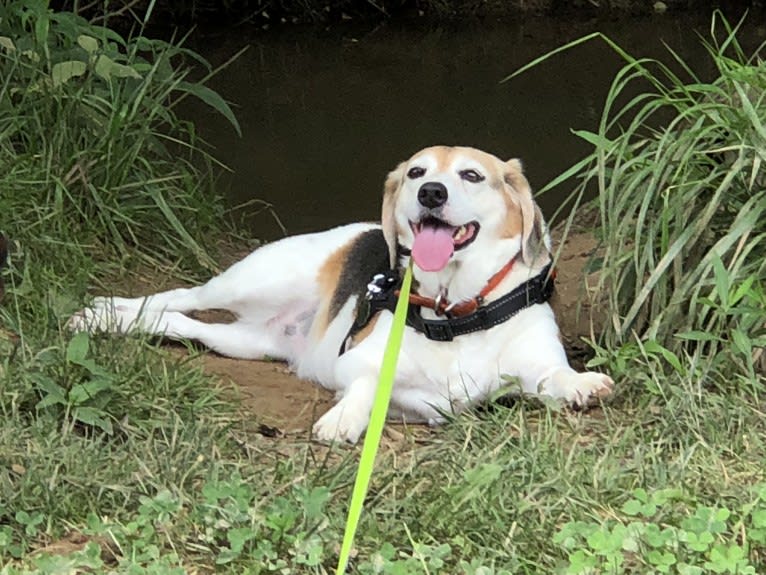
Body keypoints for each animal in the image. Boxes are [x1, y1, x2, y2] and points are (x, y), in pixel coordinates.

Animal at [69, 146, 616, 444]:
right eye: (417, 173)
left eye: (472, 175)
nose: (431, 192)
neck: (455, 309)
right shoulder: (358, 362)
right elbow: (369, 385)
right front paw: (345, 418)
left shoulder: (534, 367)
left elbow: (554, 378)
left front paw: (583, 385)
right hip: (254, 279)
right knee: (181, 295)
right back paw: (105, 313)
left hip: (246, 342)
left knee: (182, 323)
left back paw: (110, 320)